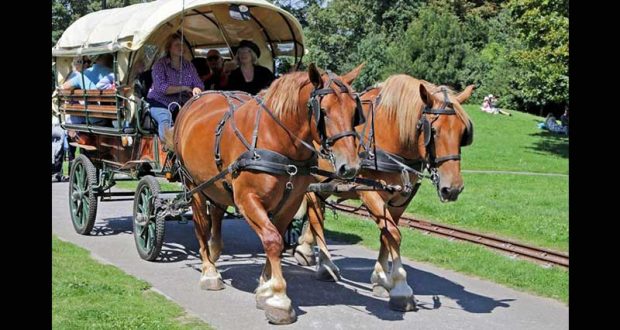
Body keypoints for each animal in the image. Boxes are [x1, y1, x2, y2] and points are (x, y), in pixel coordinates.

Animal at [168, 63, 364, 324]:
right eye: (323, 111)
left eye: (354, 111)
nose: (350, 166)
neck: (278, 141)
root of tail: (197, 97)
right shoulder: (247, 200)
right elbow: (272, 240)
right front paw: (279, 298)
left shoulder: (291, 202)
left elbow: (277, 241)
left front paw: (265, 288)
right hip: (193, 185)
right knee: (201, 224)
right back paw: (209, 270)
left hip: (217, 185)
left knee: (216, 214)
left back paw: (215, 250)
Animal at [294, 74, 472, 312]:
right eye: (433, 132)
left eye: (463, 133)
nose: (452, 188)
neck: (390, 133)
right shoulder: (370, 193)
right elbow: (394, 234)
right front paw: (401, 289)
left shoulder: (400, 199)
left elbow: (386, 234)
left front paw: (380, 278)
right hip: (313, 178)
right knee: (315, 214)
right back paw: (325, 265)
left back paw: (307, 249)